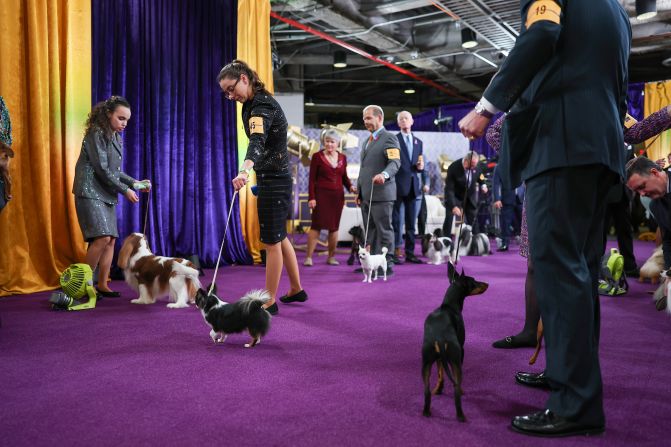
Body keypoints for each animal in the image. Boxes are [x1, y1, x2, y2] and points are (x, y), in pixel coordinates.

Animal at [420, 260, 488, 422]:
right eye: (474, 282)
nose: (487, 284)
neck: (449, 305)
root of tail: (439, 336)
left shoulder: (440, 358)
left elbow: (440, 374)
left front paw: (439, 389)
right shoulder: (462, 350)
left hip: (426, 361)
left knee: (426, 390)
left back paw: (426, 411)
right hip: (456, 358)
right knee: (456, 387)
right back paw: (461, 415)